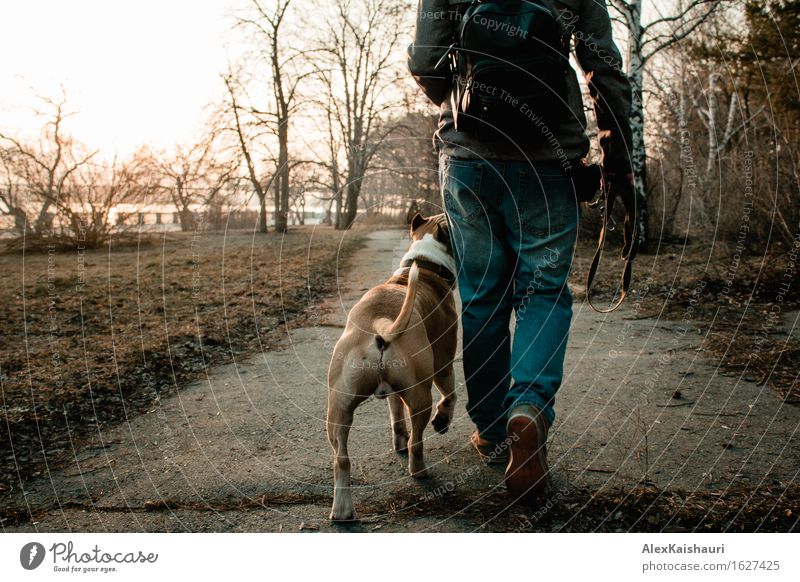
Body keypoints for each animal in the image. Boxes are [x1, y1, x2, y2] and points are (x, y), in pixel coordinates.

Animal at [324, 214, 460, 524]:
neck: (423, 263)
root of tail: (381, 323)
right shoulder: (444, 363)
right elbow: (450, 395)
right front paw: (443, 421)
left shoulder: (395, 392)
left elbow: (396, 415)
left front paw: (398, 437)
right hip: (421, 395)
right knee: (417, 441)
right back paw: (419, 470)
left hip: (338, 407)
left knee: (341, 459)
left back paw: (342, 510)